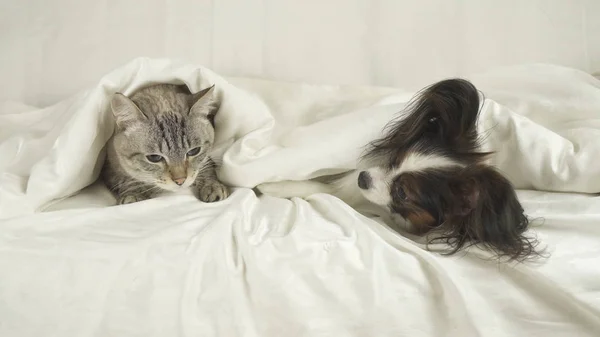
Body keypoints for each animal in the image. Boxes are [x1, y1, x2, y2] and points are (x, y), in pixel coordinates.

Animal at [255, 79, 536, 260]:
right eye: (393, 161)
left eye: (402, 193)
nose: (363, 177)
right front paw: (272, 184)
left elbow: (322, 190)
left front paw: (275, 186)